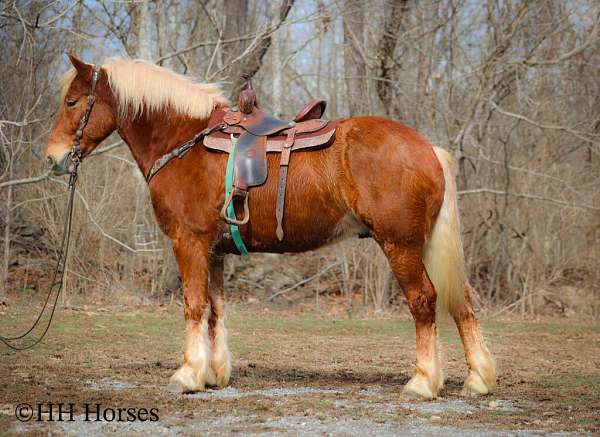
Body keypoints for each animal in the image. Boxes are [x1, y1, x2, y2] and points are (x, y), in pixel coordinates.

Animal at [43, 54, 496, 398]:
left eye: (73, 101)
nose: (52, 158)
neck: (184, 140)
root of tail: (428, 149)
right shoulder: (214, 251)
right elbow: (215, 309)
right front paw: (213, 373)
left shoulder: (189, 243)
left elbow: (193, 305)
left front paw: (188, 375)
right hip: (424, 246)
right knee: (462, 302)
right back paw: (477, 379)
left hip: (400, 245)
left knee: (424, 300)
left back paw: (423, 382)